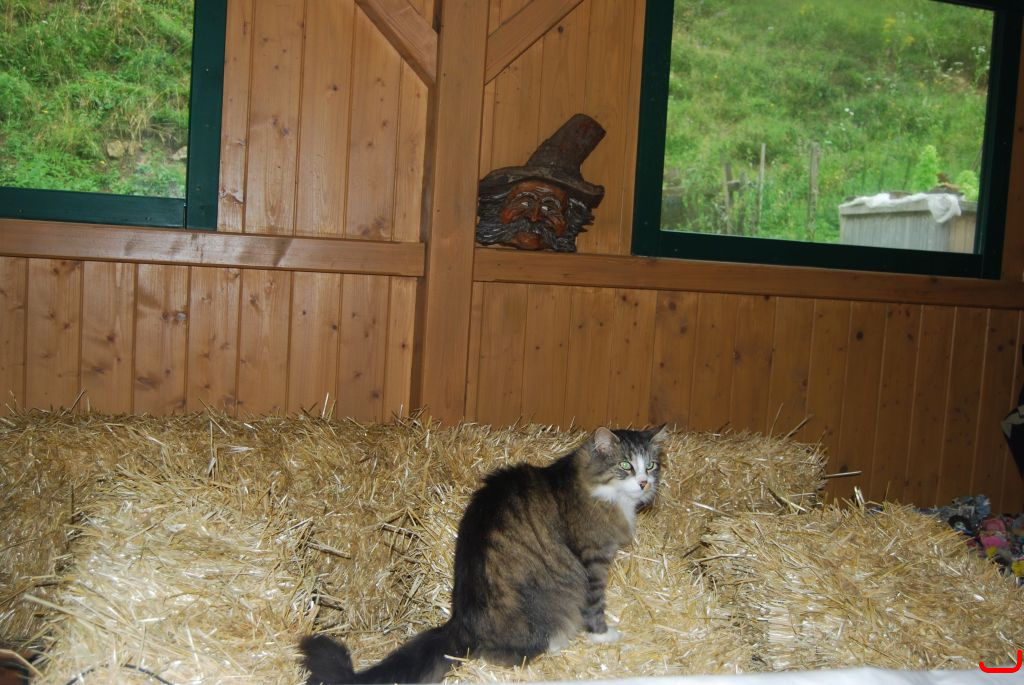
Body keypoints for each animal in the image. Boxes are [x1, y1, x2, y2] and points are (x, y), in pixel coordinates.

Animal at [300, 424, 668, 685]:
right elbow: (594, 607)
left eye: (650, 465)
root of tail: (460, 622)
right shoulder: (593, 560)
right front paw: (604, 635)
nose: (644, 483)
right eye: (625, 466)